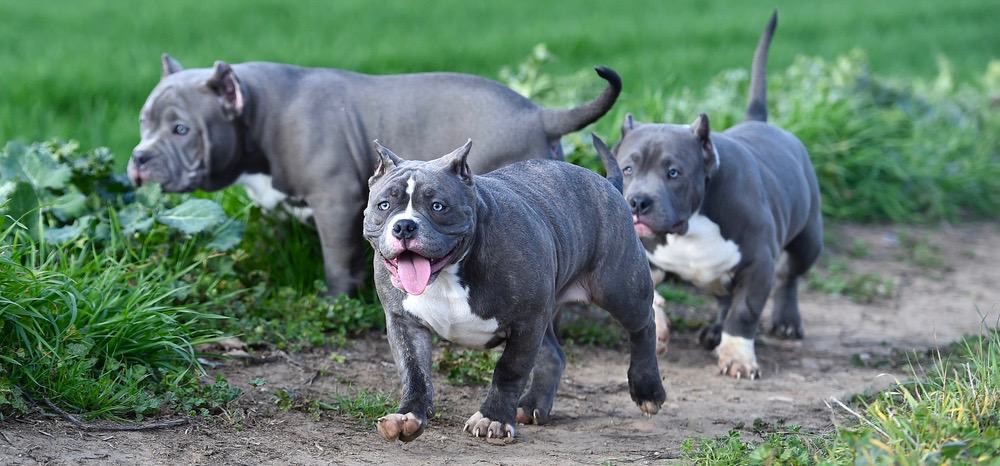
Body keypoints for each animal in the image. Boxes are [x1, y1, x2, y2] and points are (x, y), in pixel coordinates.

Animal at [129, 55, 620, 294]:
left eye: (180, 129)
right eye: (142, 122)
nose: (139, 158)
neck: (258, 114)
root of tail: (539, 115)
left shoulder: (334, 204)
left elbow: (335, 260)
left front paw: (335, 299)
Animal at [360, 139, 664, 444]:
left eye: (438, 206)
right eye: (384, 205)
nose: (404, 226)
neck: (447, 274)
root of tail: (607, 183)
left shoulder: (525, 323)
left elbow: (509, 370)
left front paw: (493, 418)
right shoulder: (404, 322)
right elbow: (414, 371)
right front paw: (407, 416)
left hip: (620, 289)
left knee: (643, 325)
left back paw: (648, 390)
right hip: (550, 311)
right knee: (553, 354)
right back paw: (531, 405)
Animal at [592, 11, 820, 378]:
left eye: (674, 172)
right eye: (627, 169)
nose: (638, 201)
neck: (692, 223)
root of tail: (761, 122)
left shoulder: (758, 264)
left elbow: (745, 312)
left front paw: (738, 356)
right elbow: (650, 295)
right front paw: (658, 330)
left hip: (808, 239)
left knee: (789, 274)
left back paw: (784, 321)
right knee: (724, 295)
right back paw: (714, 330)